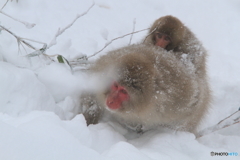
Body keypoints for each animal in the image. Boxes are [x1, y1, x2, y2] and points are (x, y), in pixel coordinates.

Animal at [80, 44, 210, 134]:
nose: (110, 100)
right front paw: (89, 120)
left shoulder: (176, 101)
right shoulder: (105, 68)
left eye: (123, 91)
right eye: (115, 85)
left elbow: (195, 104)